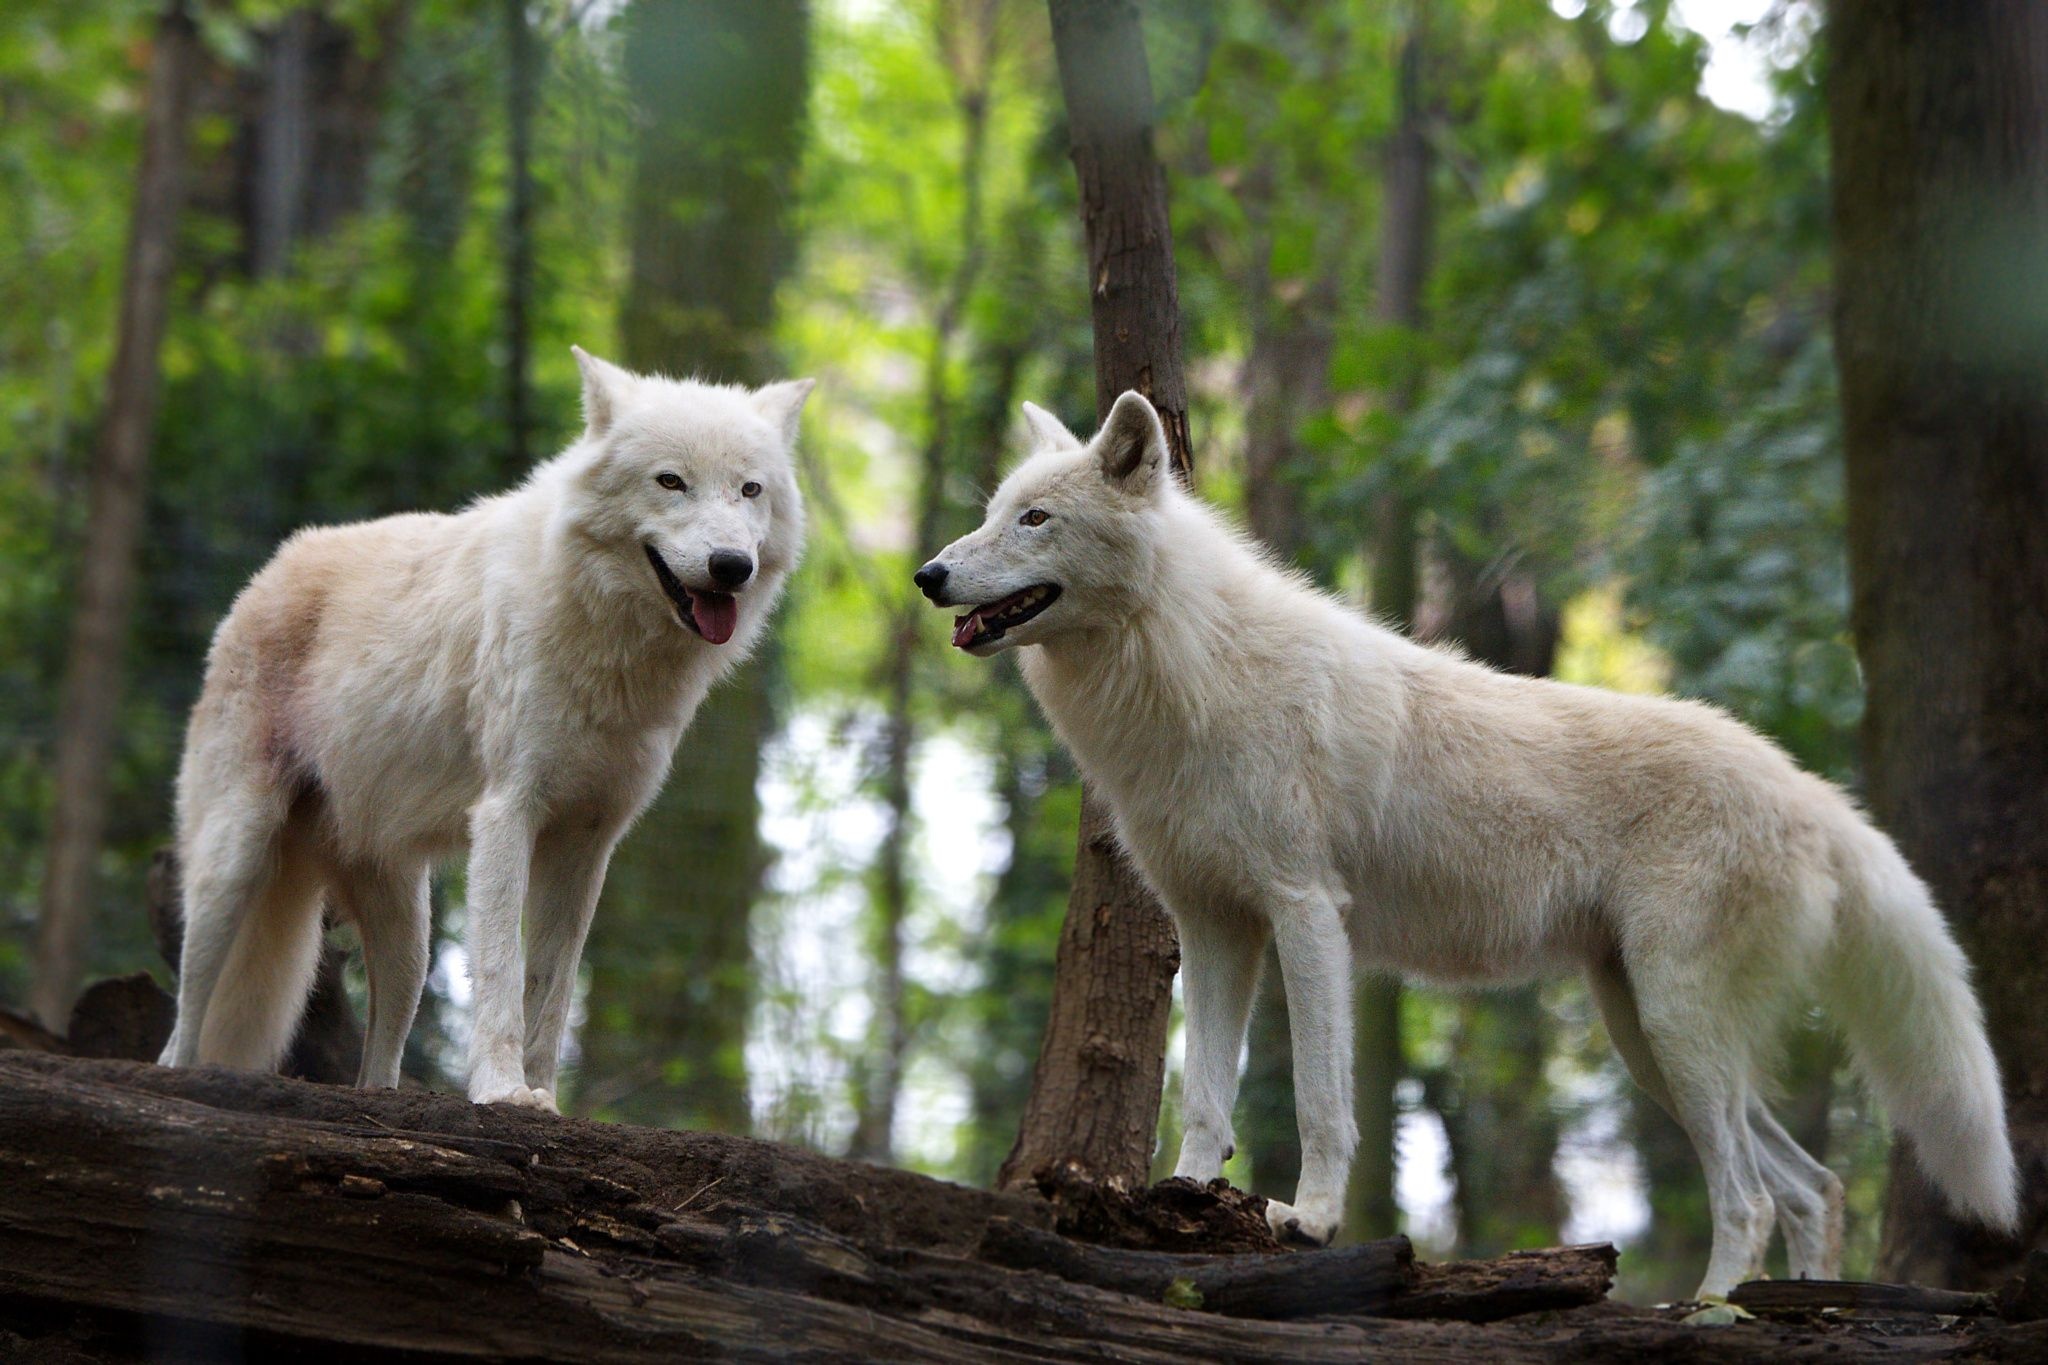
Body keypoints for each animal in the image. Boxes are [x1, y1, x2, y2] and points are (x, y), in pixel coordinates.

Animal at [155, 351, 811, 1113]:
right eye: (670, 481)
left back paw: (382, 1096)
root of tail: (267, 571)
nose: (732, 565)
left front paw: (545, 1095)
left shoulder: (588, 840)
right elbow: (502, 966)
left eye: (749, 490)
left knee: (381, 1050)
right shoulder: (507, 813)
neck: (610, 647)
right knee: (184, 1020)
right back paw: (179, 1075)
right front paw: (501, 1091)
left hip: (410, 937)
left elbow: (553, 986)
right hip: (233, 863)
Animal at [917, 388, 2015, 1301]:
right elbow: (1204, 1097)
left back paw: (1708, 1310)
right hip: (1648, 1037)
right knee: (1812, 1185)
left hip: (1672, 1027)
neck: (1190, 670)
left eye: (1035, 519)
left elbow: (1320, 1100)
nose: (928, 574)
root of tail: (1810, 791)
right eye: (993, 511)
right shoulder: (1215, 928)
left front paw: (1308, 1221)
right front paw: (1181, 1202)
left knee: (1747, 1195)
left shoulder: (1305, 912)